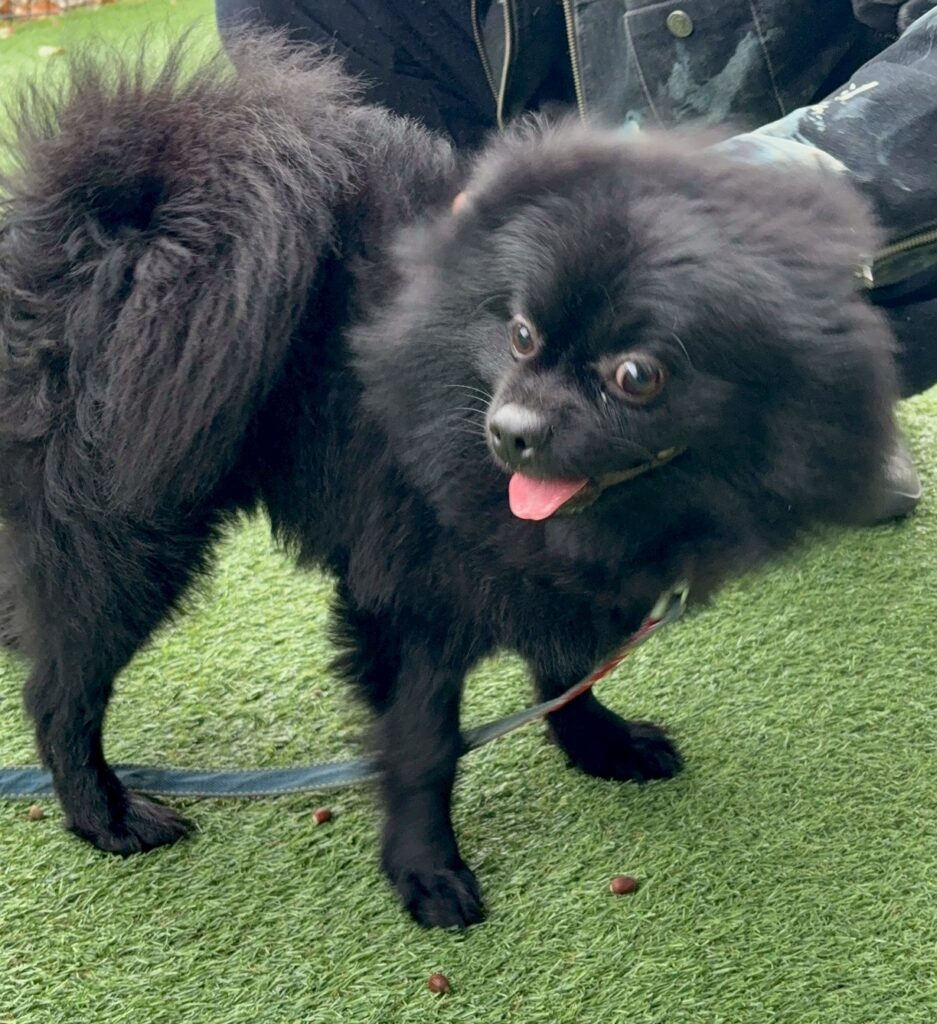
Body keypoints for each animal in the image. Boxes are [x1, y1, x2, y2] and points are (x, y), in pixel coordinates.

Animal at [0, 37, 897, 928]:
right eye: (522, 336)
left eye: (636, 375)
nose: (511, 431)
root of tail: (104, 219)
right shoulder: (409, 604)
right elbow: (425, 744)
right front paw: (424, 867)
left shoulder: (550, 581)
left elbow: (565, 675)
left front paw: (598, 745)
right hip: (125, 536)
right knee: (63, 688)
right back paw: (102, 811)